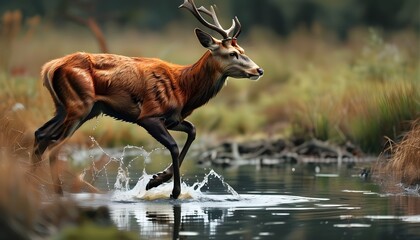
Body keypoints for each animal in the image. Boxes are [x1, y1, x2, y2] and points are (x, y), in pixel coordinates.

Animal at [32, 0, 262, 199]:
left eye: (243, 50)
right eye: (232, 53)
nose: (258, 70)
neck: (184, 90)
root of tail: (49, 68)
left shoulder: (173, 119)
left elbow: (193, 130)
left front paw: (158, 179)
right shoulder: (148, 115)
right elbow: (173, 145)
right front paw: (167, 189)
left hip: (70, 108)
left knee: (41, 134)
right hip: (81, 105)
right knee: (54, 147)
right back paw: (66, 193)